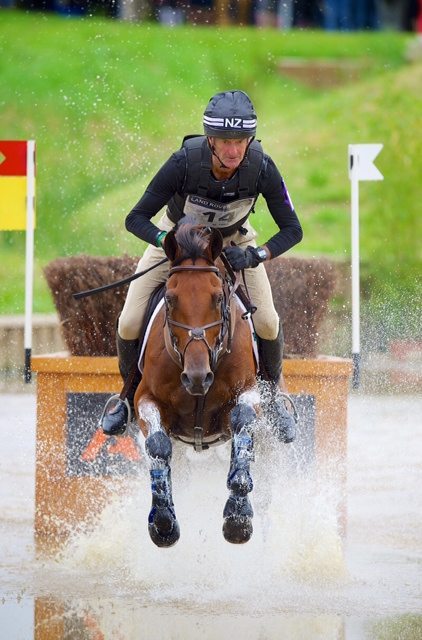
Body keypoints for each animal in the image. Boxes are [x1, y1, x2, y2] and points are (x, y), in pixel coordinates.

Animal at [134, 219, 260, 544]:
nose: (197, 377)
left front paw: (238, 518)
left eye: (218, 298)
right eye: (170, 298)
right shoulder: (145, 398)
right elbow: (158, 446)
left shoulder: (249, 393)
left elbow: (242, 423)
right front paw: (163, 523)